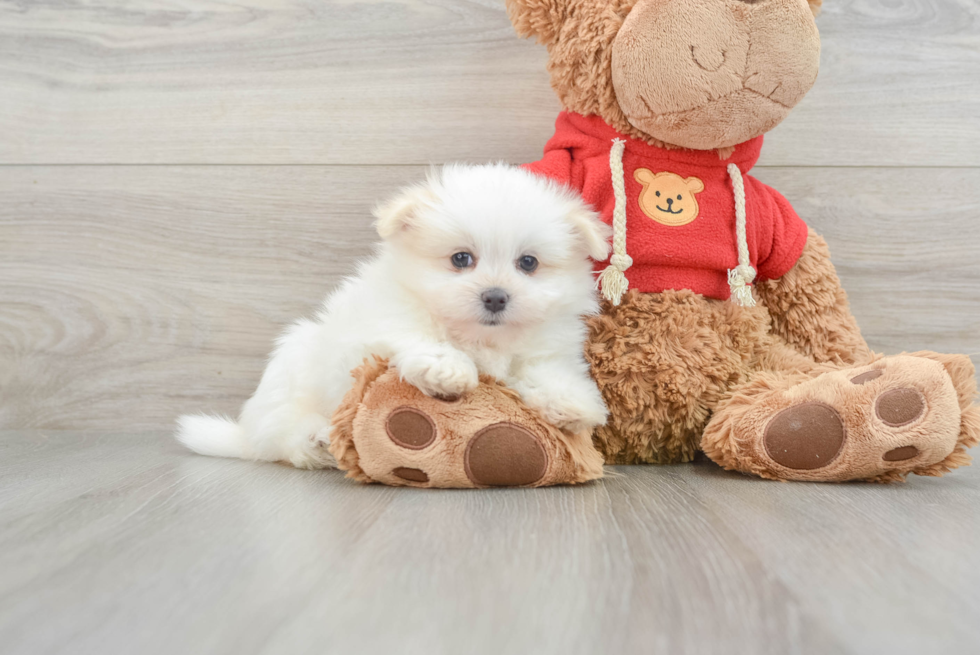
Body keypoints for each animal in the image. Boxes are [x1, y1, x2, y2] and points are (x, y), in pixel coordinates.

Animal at [174, 165, 604, 472]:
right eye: (461, 259)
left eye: (528, 263)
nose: (496, 296)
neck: (480, 338)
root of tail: (247, 434)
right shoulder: (379, 326)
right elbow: (416, 337)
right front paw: (448, 369)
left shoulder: (544, 347)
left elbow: (546, 369)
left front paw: (573, 403)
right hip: (292, 366)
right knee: (283, 437)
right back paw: (316, 440)